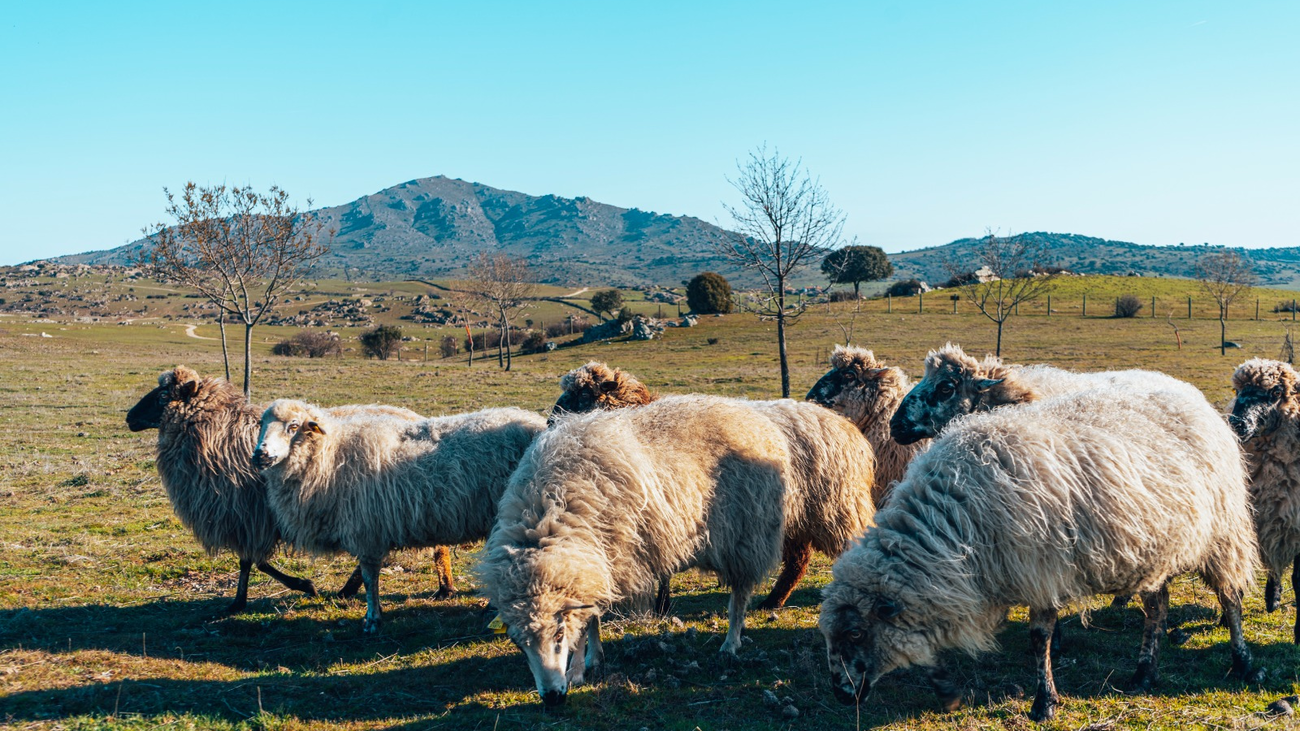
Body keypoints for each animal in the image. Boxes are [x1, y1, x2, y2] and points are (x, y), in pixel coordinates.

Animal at [125, 367, 447, 611]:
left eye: (163, 396)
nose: (129, 417)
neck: (218, 431)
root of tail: (418, 419)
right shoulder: (250, 517)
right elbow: (251, 562)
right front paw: (243, 600)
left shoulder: (249, 515)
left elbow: (252, 561)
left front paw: (301, 587)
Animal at [254, 400, 546, 633]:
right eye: (260, 424)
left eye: (293, 426)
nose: (260, 455)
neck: (332, 455)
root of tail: (537, 423)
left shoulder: (367, 531)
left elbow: (370, 578)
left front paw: (372, 619)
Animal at [479, 394, 876, 707]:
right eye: (518, 644)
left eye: (558, 636)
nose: (551, 698)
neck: (549, 509)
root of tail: (756, 417)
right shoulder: (597, 559)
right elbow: (591, 617)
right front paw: (592, 657)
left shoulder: (610, 553)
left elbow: (588, 618)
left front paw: (576, 668)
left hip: (747, 529)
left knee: (740, 591)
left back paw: (731, 642)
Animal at [548, 361, 878, 610]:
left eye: (583, 394)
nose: (551, 420)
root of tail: (846, 427)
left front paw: (662, 605)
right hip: (794, 514)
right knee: (799, 561)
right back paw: (772, 602)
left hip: (835, 507)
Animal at [820, 384, 1259, 722]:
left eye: (856, 632)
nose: (840, 694)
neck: (954, 519)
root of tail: (1192, 397)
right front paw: (945, 687)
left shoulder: (1040, 569)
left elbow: (1039, 637)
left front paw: (1044, 701)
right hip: (1154, 548)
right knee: (1157, 608)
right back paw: (1144, 672)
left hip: (1222, 534)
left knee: (1230, 597)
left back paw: (1243, 665)